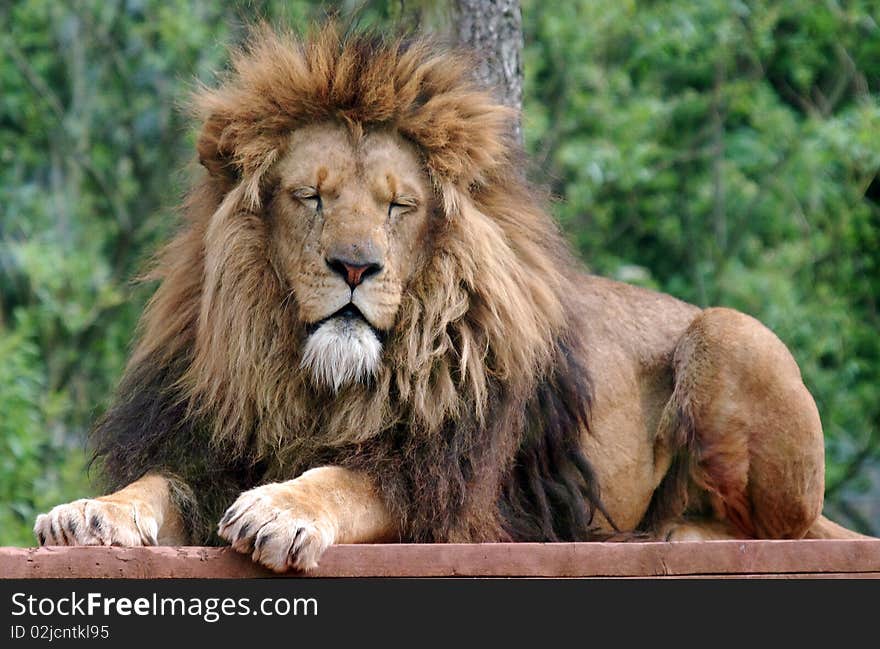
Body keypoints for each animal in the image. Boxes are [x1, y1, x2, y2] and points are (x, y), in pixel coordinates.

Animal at [34, 22, 868, 568]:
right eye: (310, 196)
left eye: (399, 206)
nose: (355, 267)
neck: (312, 382)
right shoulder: (208, 447)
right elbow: (154, 483)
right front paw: (88, 513)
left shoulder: (448, 487)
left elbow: (347, 480)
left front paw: (280, 507)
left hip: (730, 333)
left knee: (780, 529)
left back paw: (679, 533)